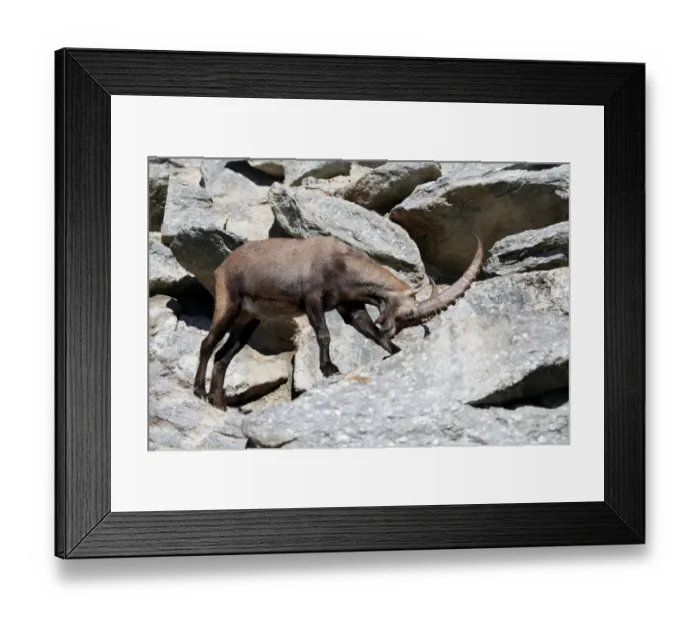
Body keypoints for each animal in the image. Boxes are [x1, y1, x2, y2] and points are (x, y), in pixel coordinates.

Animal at [194, 234, 484, 410]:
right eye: (409, 313)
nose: (392, 330)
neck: (341, 263)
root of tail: (223, 266)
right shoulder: (312, 299)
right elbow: (324, 334)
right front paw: (329, 368)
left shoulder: (350, 306)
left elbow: (371, 332)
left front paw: (395, 351)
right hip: (228, 304)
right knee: (208, 343)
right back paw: (198, 390)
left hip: (249, 319)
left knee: (222, 356)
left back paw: (218, 403)